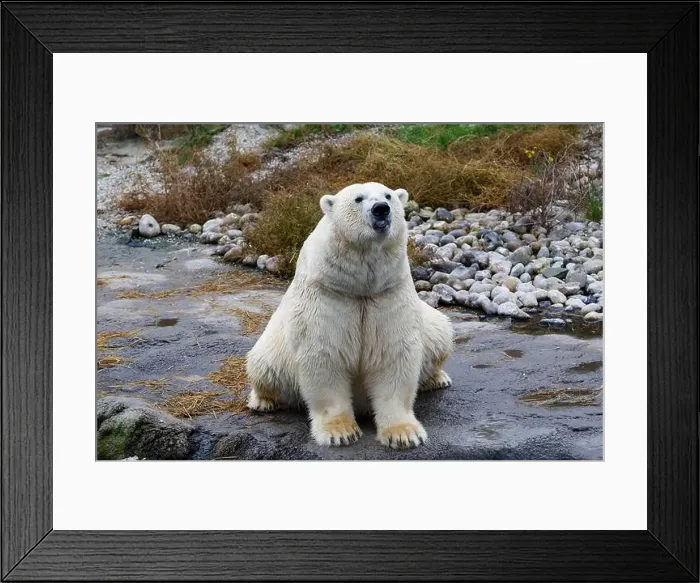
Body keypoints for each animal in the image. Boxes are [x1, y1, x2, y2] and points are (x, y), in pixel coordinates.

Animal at [245, 182, 454, 449]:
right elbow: (325, 355)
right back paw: (263, 401)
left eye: (388, 196)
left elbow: (393, 354)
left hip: (430, 322)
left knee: (441, 333)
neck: (360, 287)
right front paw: (341, 432)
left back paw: (436, 379)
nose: (381, 209)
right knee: (263, 365)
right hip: (273, 347)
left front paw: (404, 434)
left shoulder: (388, 293)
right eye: (358, 199)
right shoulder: (327, 296)